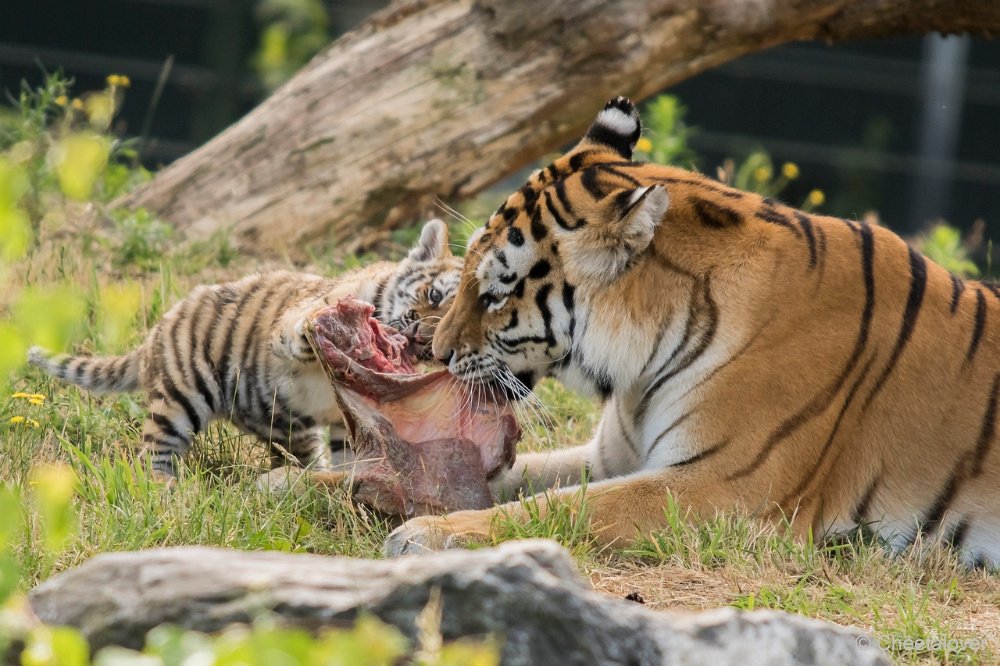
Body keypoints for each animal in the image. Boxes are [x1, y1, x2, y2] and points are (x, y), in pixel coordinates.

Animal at [384, 97, 1000, 564]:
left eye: (495, 293)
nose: (435, 351)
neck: (641, 370)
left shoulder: (725, 489)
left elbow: (561, 507)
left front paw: (426, 534)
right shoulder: (613, 459)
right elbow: (522, 481)